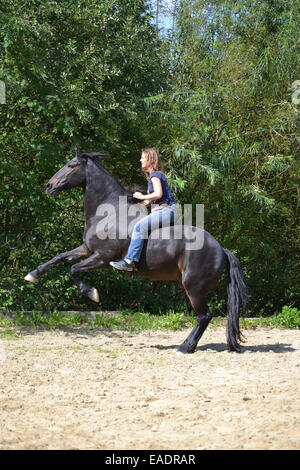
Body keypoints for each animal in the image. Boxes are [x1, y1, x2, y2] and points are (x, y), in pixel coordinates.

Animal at [24, 146, 248, 352]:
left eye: (72, 165)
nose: (49, 185)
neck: (109, 214)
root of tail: (220, 248)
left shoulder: (103, 258)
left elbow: (73, 270)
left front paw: (92, 293)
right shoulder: (87, 250)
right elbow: (59, 257)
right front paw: (32, 275)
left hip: (194, 287)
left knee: (204, 316)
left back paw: (185, 347)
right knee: (203, 317)